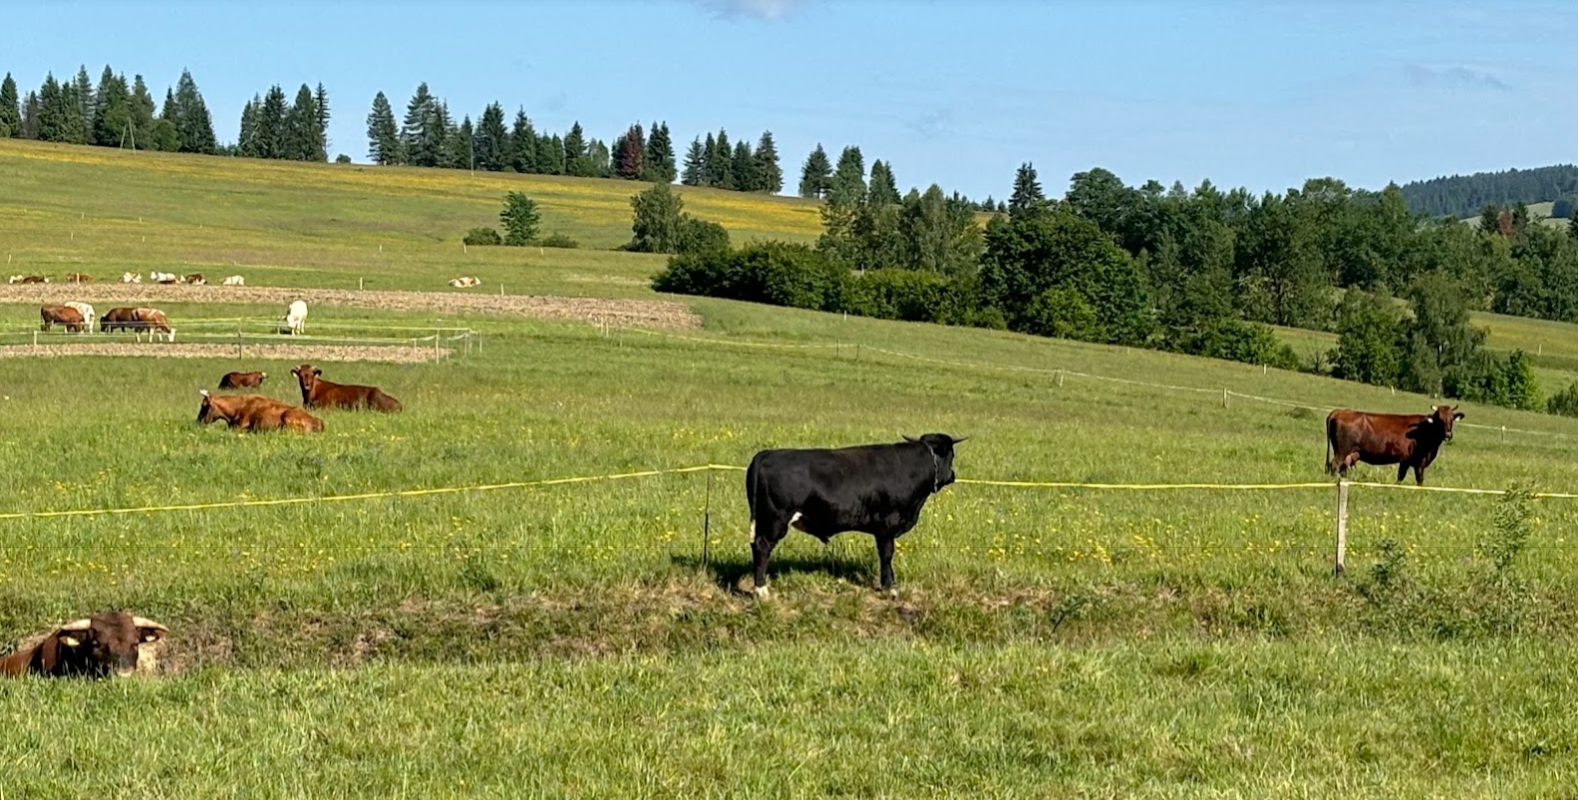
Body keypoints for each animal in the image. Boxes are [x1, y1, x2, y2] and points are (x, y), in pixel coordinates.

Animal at [744, 432, 965, 596]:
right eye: (952, 455)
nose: (953, 475)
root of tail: (767, 454)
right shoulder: (887, 524)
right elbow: (886, 554)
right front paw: (889, 587)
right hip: (775, 520)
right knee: (762, 547)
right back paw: (761, 590)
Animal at [1325, 403, 1458, 485]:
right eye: (1439, 419)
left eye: (1451, 419)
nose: (1448, 434)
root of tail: (1338, 412)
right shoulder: (1412, 461)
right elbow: (1411, 478)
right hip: (1342, 451)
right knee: (1334, 465)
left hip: (1347, 453)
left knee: (1341, 468)